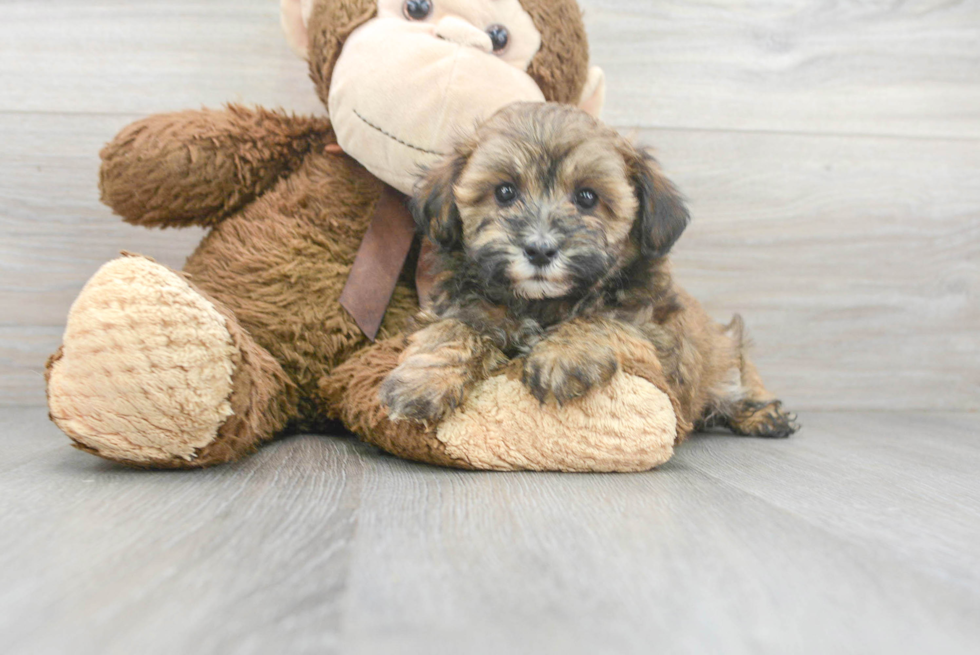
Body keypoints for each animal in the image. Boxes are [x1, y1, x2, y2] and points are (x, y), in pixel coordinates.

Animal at [378, 104, 800, 440]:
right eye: (504, 192)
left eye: (586, 197)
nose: (540, 249)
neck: (542, 305)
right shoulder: (459, 306)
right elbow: (451, 330)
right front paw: (420, 382)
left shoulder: (654, 330)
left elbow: (603, 319)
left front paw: (563, 355)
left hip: (726, 352)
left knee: (739, 377)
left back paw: (763, 414)